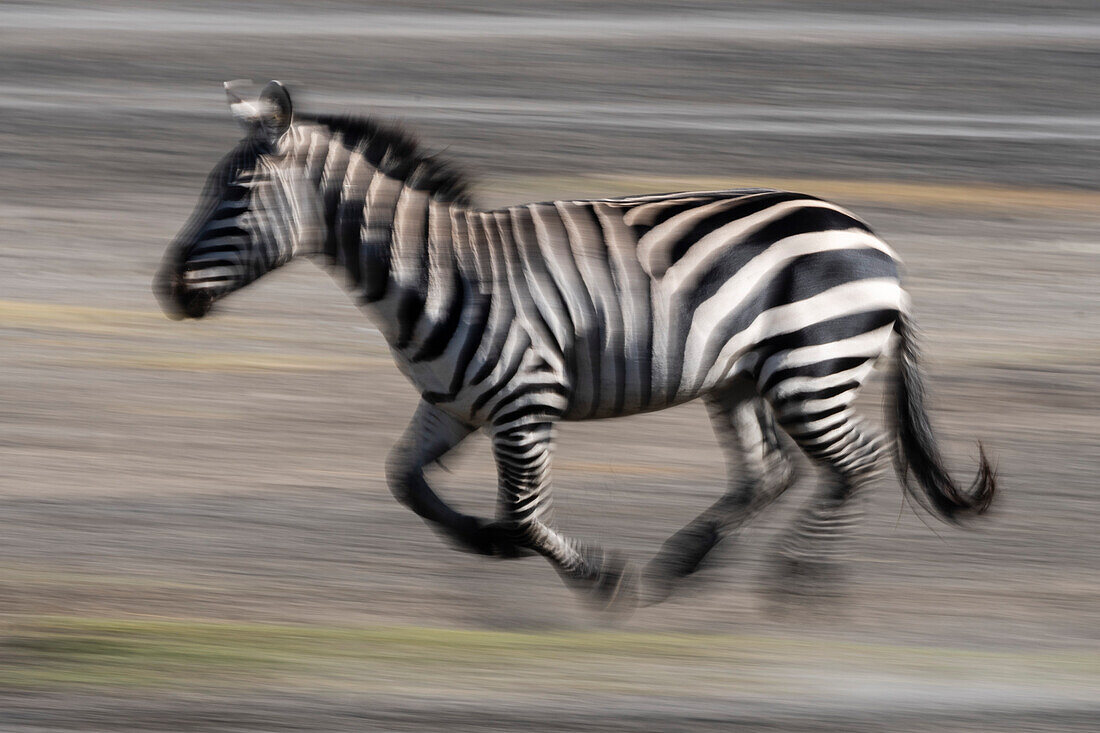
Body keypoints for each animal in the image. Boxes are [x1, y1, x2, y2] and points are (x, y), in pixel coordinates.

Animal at [152, 82, 998, 607]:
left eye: (236, 192)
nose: (167, 291)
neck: (429, 271)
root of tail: (871, 238)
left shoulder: (525, 400)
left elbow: (526, 512)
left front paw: (595, 578)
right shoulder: (451, 403)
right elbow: (405, 481)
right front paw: (484, 541)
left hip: (811, 367)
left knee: (855, 462)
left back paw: (794, 577)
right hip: (739, 377)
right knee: (770, 473)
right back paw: (685, 565)